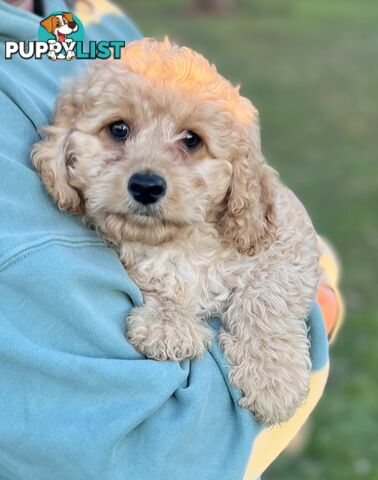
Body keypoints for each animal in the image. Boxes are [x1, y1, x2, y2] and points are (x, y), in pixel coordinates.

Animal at [32, 38, 318, 428]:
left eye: (192, 140)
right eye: (118, 129)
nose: (146, 186)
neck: (181, 242)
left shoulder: (288, 240)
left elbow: (267, 295)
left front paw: (274, 380)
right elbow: (151, 282)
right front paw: (167, 325)